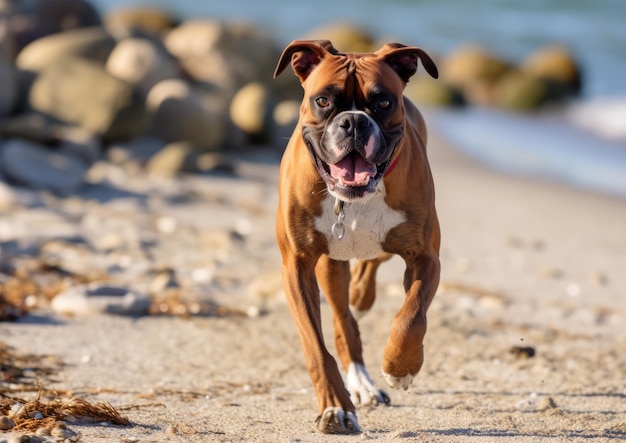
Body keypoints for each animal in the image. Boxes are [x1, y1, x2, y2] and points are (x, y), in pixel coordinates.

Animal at [272, 40, 438, 436]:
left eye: (383, 102)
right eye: (323, 100)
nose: (354, 121)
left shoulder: (426, 257)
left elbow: (411, 315)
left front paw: (401, 367)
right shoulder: (297, 267)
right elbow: (316, 346)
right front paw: (335, 407)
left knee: (372, 267)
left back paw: (363, 298)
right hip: (329, 267)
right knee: (343, 321)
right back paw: (358, 380)